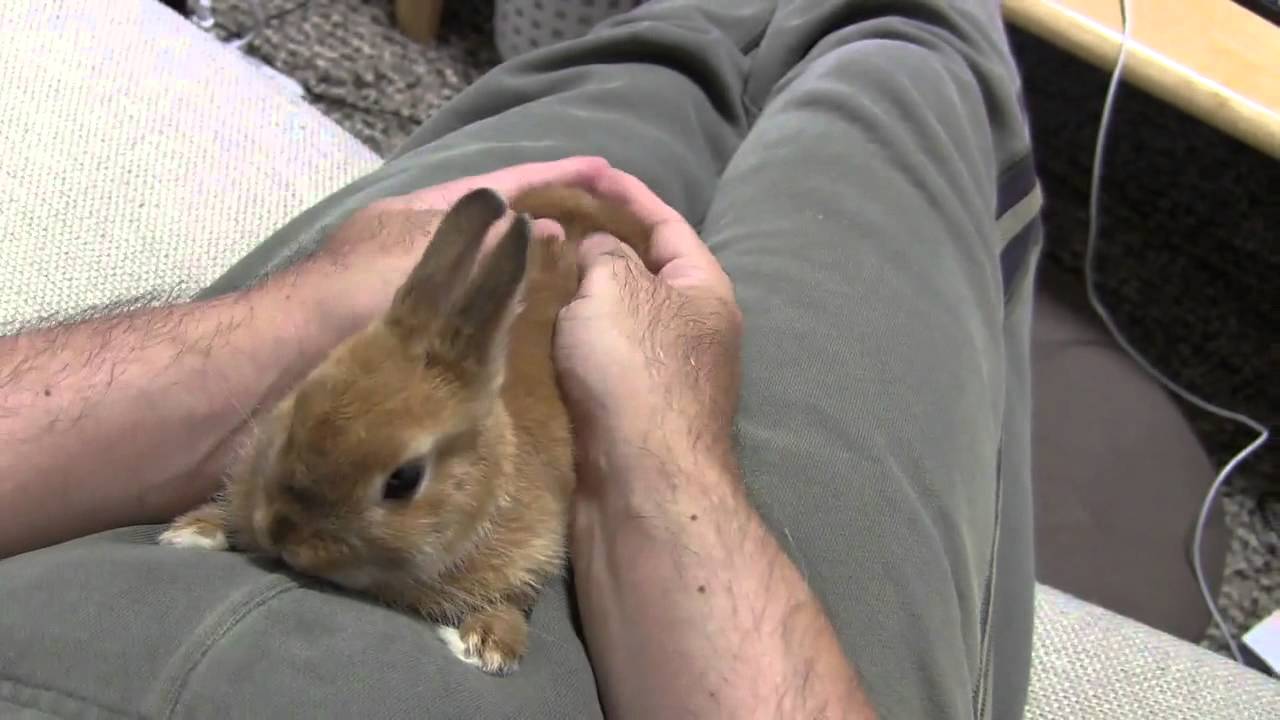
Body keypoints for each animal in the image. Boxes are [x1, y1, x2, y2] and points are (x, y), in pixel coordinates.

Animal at [159, 184, 652, 675]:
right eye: (297, 408)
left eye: (403, 481)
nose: (284, 537)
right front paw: (193, 531)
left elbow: (514, 600)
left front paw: (486, 646)